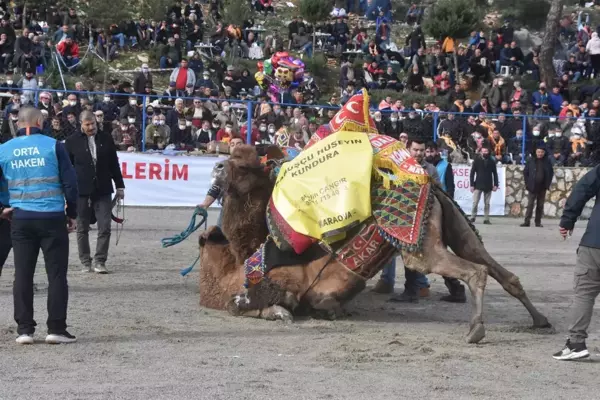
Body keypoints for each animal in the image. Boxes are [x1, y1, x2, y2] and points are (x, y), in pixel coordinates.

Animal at [199, 145, 552, 342]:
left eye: (243, 165)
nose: (215, 166)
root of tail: (432, 185)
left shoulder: (282, 284)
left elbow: (238, 303)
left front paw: (278, 313)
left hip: (424, 249)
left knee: (474, 271)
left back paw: (476, 330)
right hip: (458, 229)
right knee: (499, 270)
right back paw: (540, 321)